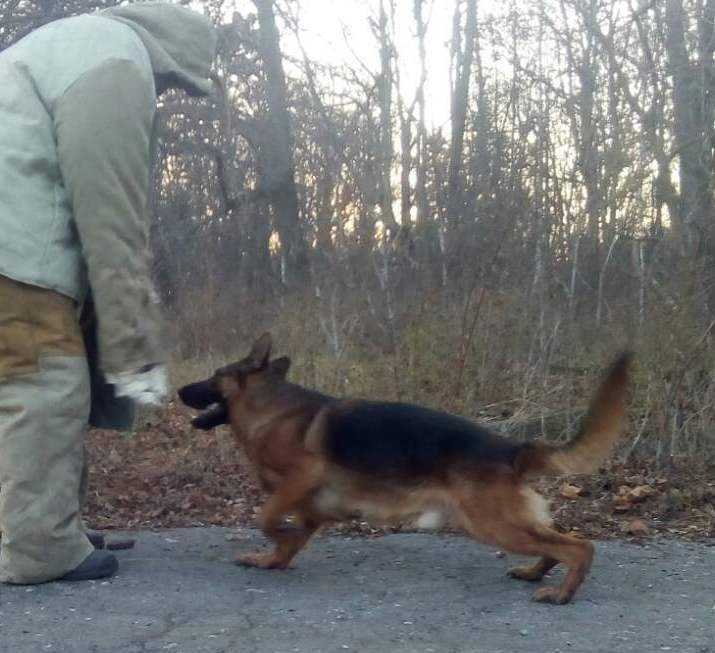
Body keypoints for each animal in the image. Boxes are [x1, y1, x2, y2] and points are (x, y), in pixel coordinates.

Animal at [180, 336, 632, 608]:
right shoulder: (312, 508)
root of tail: (511, 447)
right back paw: (534, 571)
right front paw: (269, 559)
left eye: (213, 377)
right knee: (555, 542)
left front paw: (276, 538)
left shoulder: (302, 478)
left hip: (493, 524)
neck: (272, 410)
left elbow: (267, 517)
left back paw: (561, 593)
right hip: (500, 523)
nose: (180, 389)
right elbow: (287, 540)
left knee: (580, 547)